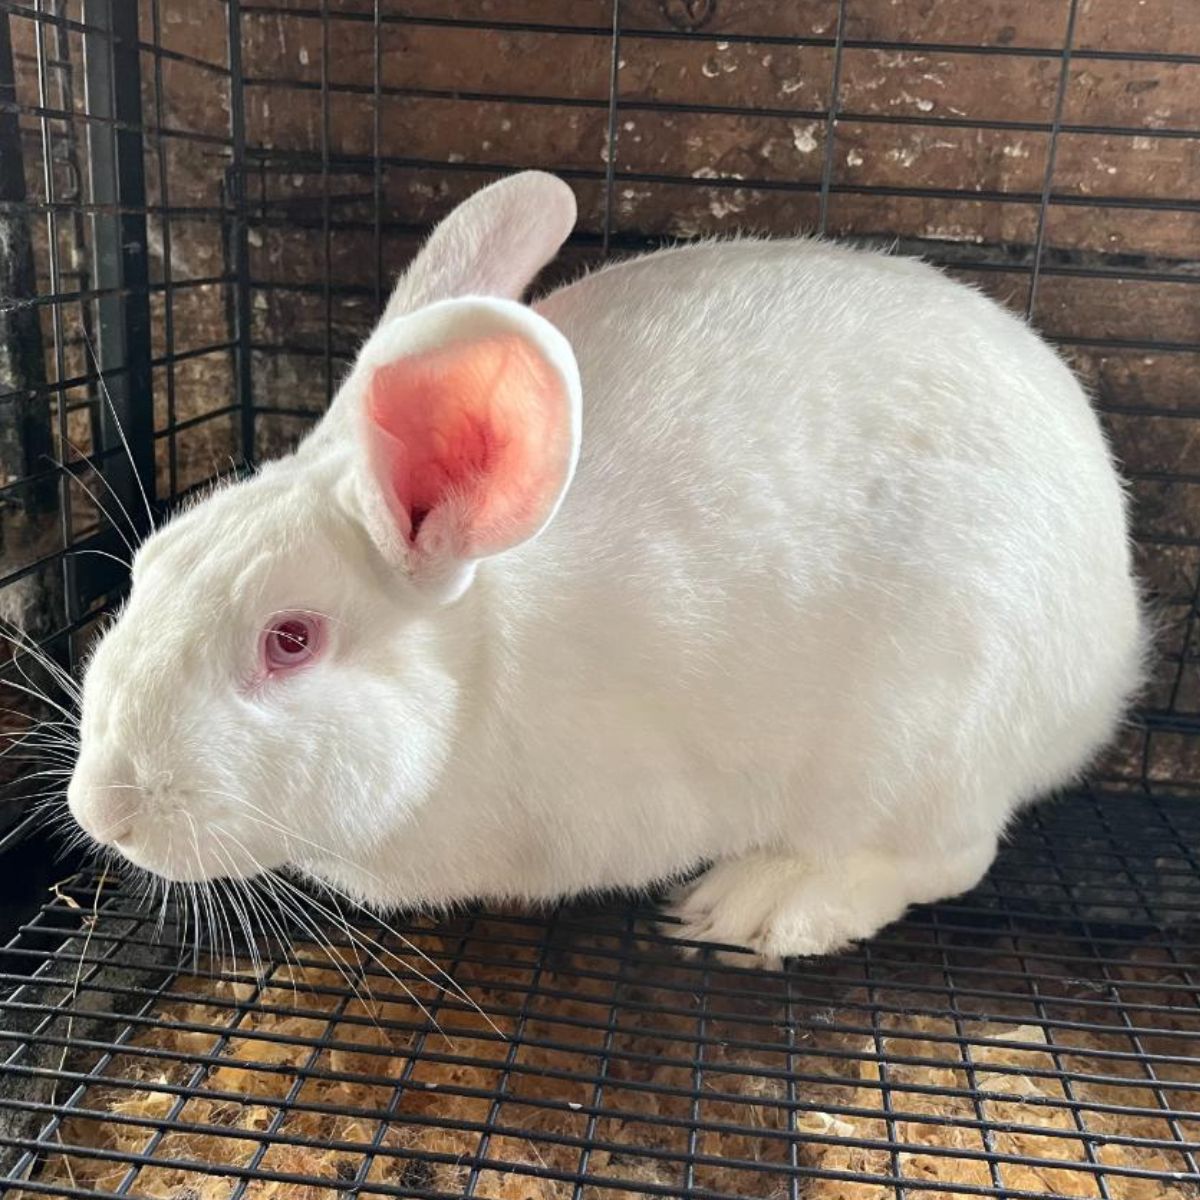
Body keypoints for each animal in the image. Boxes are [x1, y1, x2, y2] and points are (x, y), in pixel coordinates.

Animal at [65, 170, 1146, 963]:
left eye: (290, 640)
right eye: (149, 566)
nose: (103, 810)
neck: (478, 669)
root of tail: (1116, 645)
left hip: (923, 743)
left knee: (949, 858)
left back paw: (760, 906)